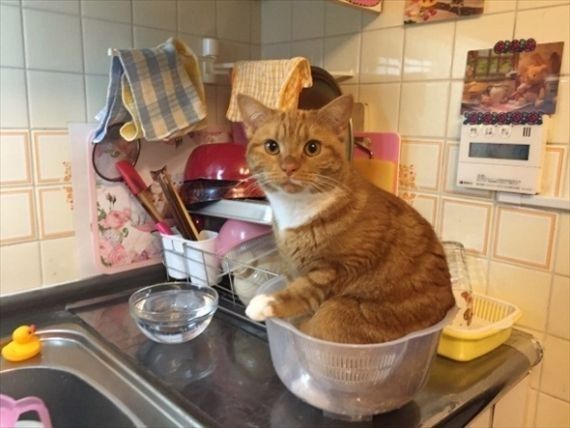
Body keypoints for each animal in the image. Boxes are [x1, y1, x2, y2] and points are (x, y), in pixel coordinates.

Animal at [235, 93, 452, 344]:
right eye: (272, 146)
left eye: (312, 148)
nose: (289, 167)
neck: (295, 208)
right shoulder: (292, 268)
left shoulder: (337, 268)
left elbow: (302, 291)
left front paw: (266, 303)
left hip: (336, 311)